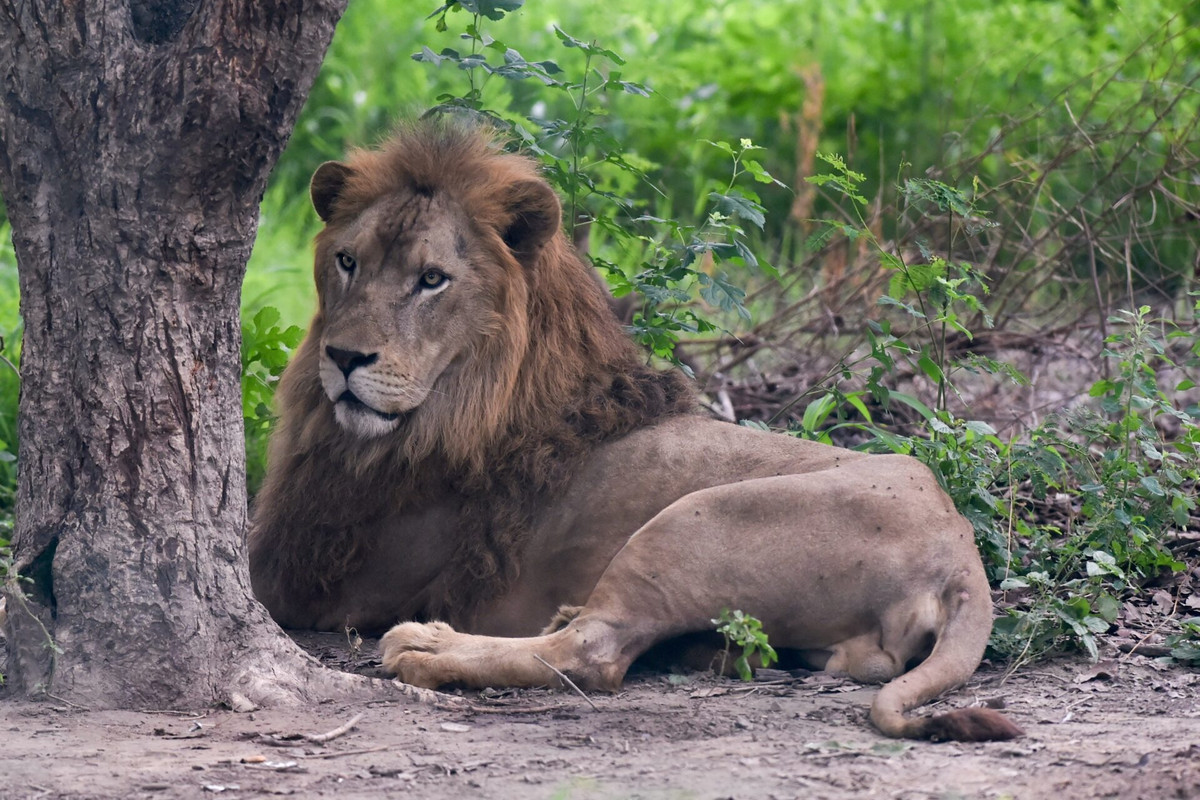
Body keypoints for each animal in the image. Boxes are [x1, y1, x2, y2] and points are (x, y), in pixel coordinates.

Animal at [248, 120, 1023, 742]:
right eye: (348, 261)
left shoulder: (319, 577)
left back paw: (428, 647)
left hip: (694, 522)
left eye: (432, 279)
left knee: (592, 653)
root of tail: (960, 553)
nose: (344, 358)